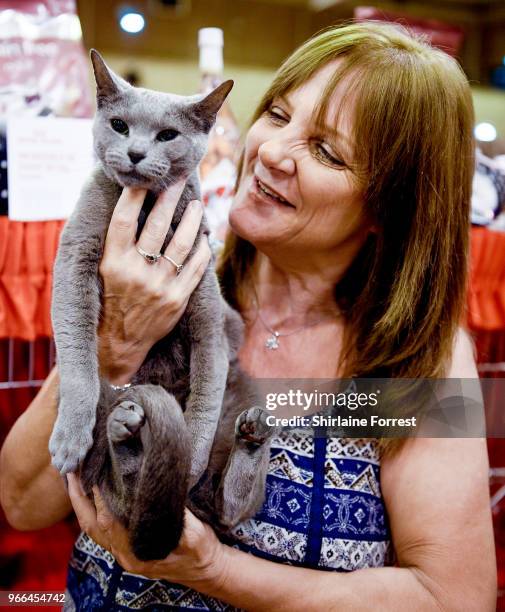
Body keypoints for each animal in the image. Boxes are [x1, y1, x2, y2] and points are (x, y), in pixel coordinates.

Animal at [49, 51, 274, 560]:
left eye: (167, 135)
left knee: (230, 505)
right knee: (124, 493)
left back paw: (247, 441)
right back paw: (125, 435)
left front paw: (189, 455)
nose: (134, 152)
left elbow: (206, 394)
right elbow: (78, 360)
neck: (148, 211)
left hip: (244, 389)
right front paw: (69, 437)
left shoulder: (208, 307)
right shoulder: (73, 262)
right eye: (119, 125)